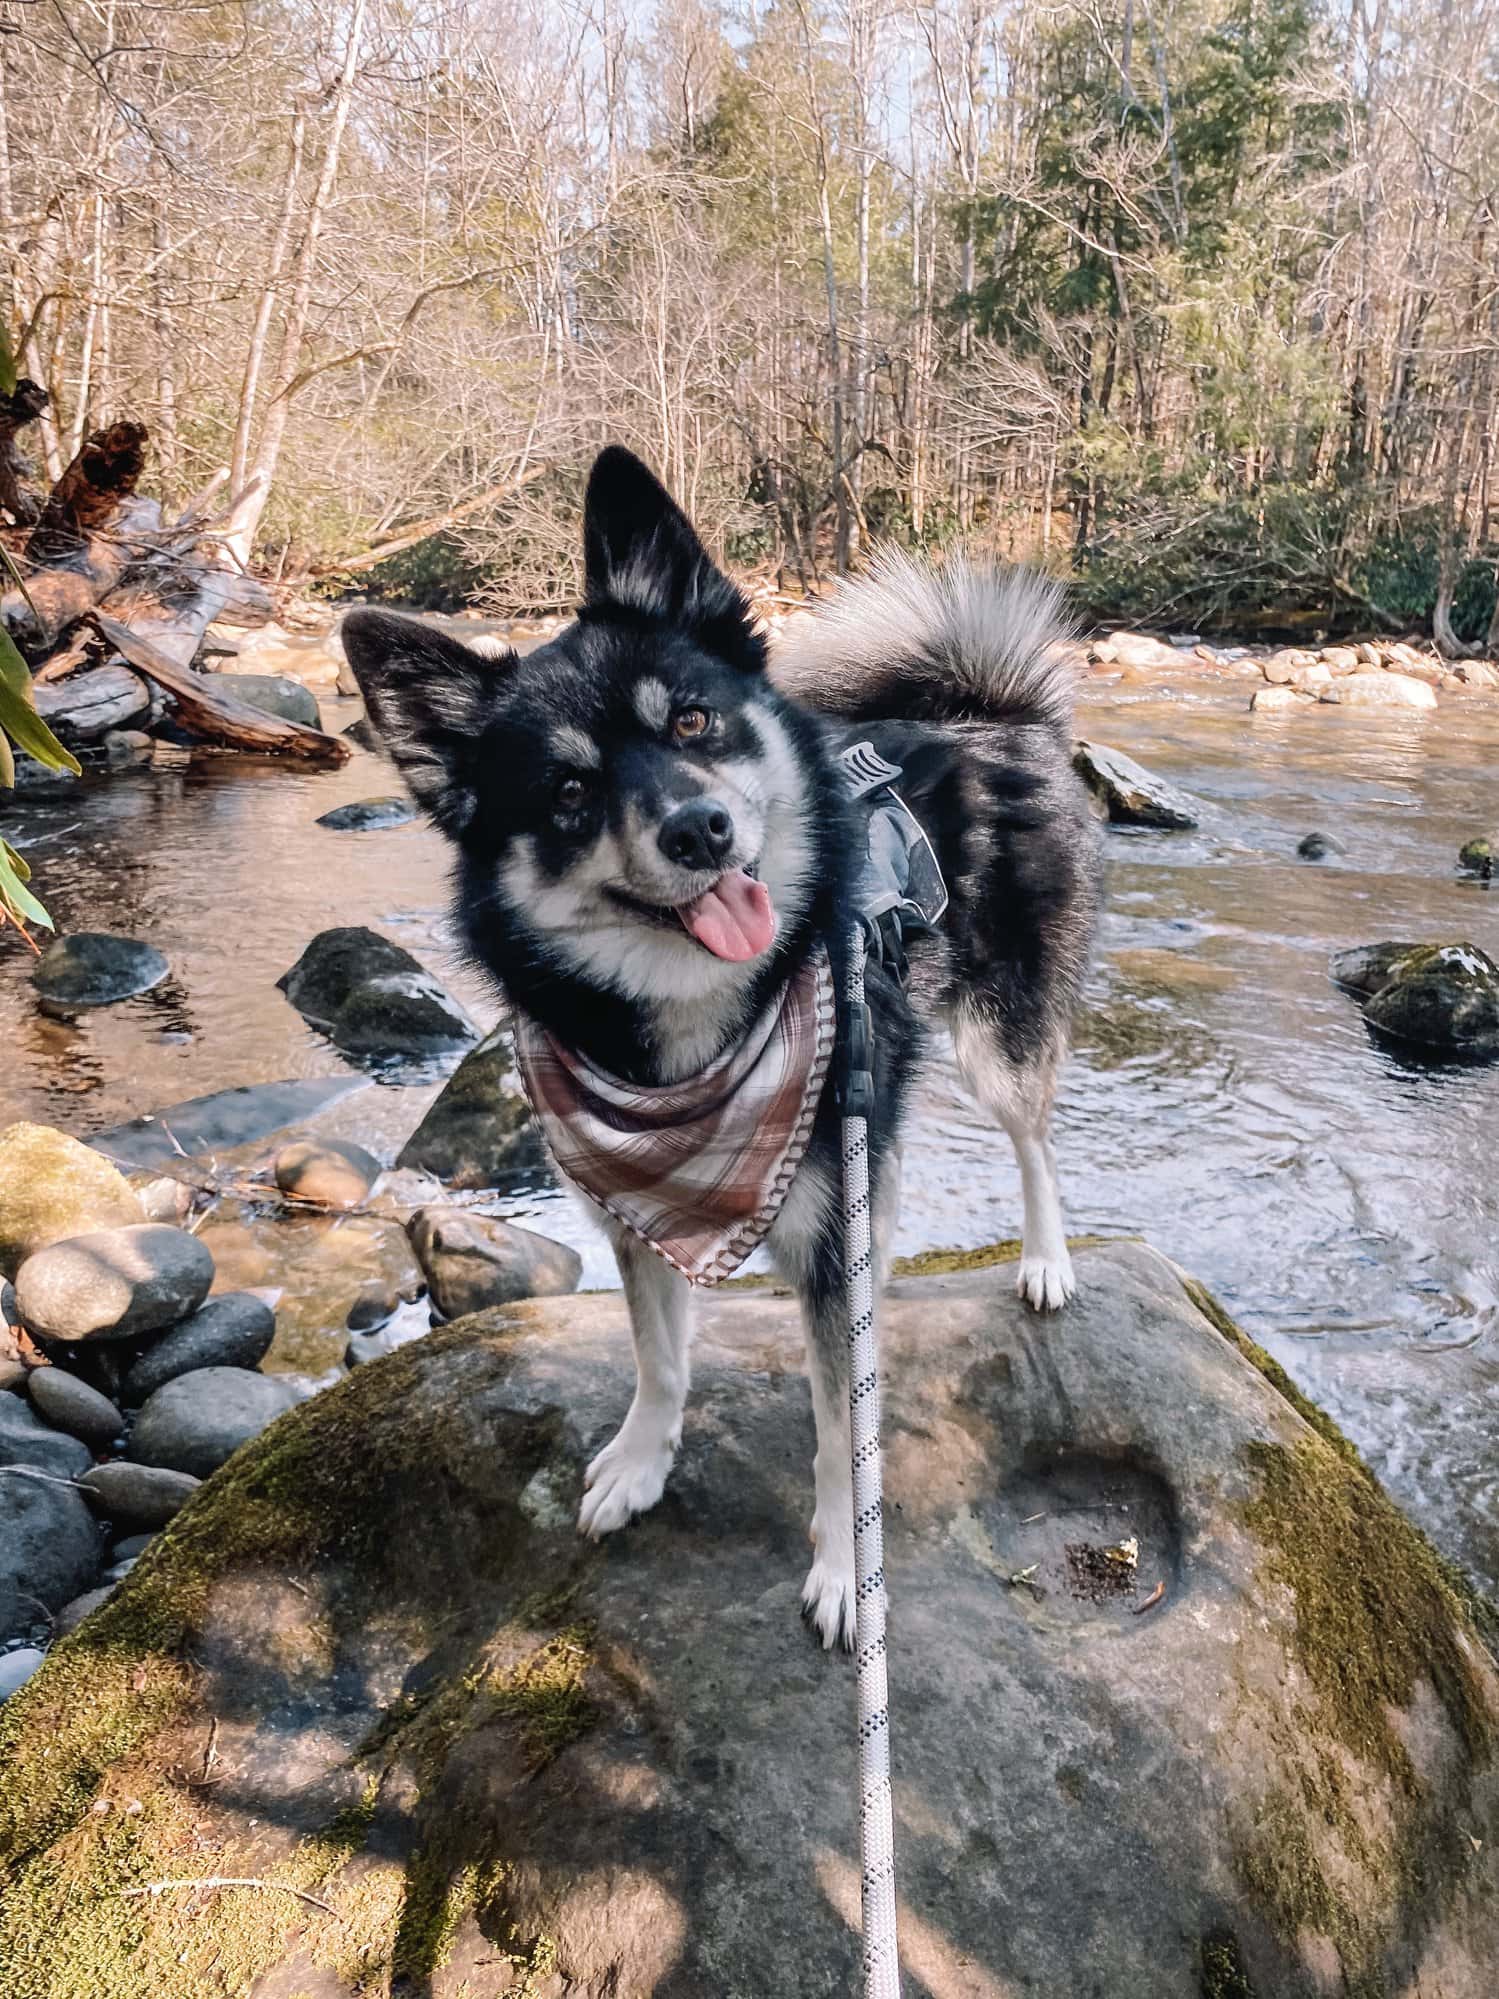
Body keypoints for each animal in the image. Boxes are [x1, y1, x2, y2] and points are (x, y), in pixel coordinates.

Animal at [349, 445, 1103, 1647]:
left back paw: (1041, 1260)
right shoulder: (633, 1212)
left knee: (1032, 1140)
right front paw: (639, 1463)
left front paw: (844, 1568)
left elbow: (842, 1432)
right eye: (568, 789)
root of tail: (995, 715)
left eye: (694, 723)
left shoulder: (826, 1215)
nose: (698, 830)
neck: (703, 1025)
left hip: (998, 1034)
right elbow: (659, 1357)